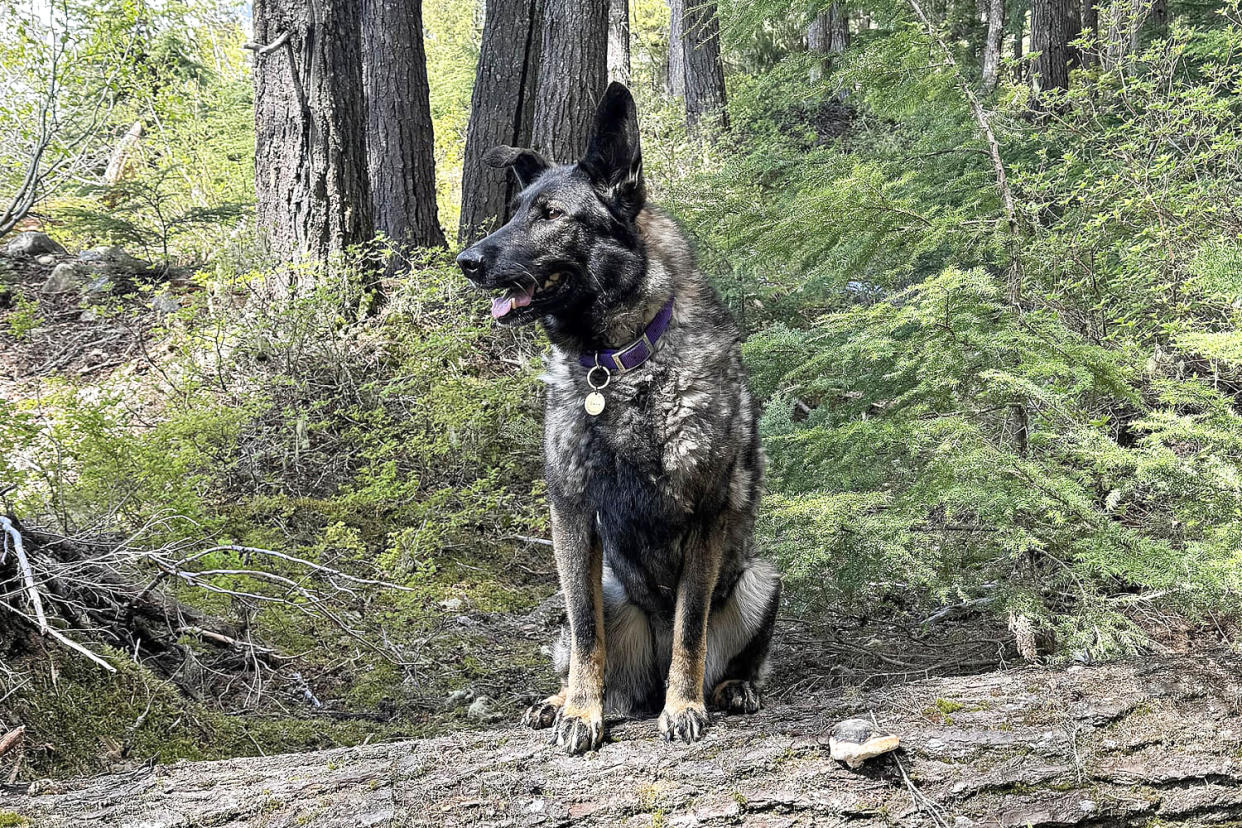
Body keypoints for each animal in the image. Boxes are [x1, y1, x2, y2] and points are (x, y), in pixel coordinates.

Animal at [462, 85, 779, 759]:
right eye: (514, 211)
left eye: (551, 214)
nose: (467, 260)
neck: (618, 364)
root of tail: (644, 676)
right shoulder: (572, 514)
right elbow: (588, 635)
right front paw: (581, 711)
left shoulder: (706, 517)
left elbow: (690, 627)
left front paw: (683, 705)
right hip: (601, 588)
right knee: (586, 644)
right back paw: (562, 700)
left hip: (760, 576)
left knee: (729, 652)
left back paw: (729, 687)